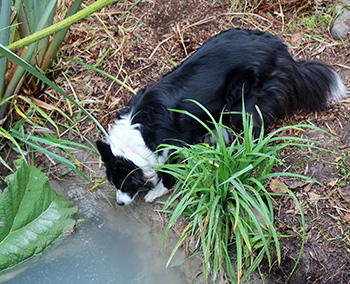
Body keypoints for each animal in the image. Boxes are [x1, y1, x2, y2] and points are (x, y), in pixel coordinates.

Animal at [97, 28, 346, 205]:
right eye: (113, 183)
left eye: (124, 184)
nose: (119, 204)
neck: (136, 137)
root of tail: (282, 51)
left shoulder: (175, 146)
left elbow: (169, 172)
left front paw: (156, 192)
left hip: (244, 102)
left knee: (255, 127)